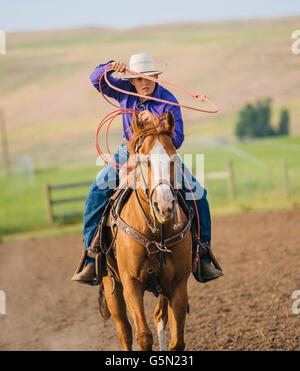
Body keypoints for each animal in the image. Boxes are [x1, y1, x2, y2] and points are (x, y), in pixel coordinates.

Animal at [100, 110, 192, 352]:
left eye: (173, 159)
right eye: (145, 160)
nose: (164, 205)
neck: (155, 234)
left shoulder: (178, 284)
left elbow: (177, 341)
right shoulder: (131, 283)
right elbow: (143, 336)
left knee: (159, 316)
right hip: (111, 284)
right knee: (124, 330)